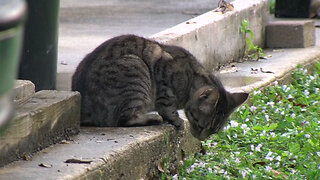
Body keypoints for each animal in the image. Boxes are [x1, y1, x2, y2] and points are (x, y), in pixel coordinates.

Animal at [72, 34, 248, 140]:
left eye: (214, 131)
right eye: (200, 125)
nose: (201, 139)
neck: (191, 77)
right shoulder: (165, 79)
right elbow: (167, 106)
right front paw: (176, 120)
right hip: (136, 69)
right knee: (123, 119)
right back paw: (152, 118)